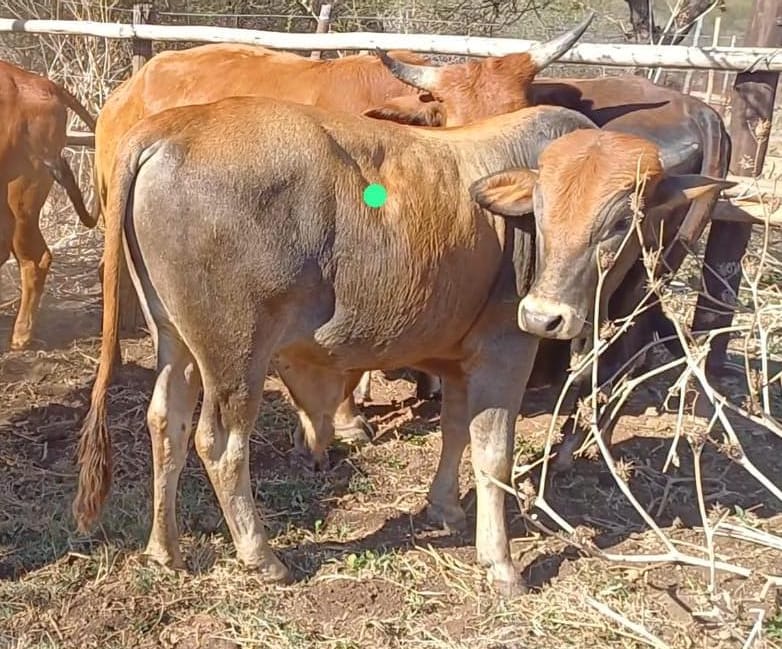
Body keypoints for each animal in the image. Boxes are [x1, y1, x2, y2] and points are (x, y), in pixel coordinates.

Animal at [72, 97, 729, 595]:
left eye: (620, 220)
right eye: (541, 211)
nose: (545, 315)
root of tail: (169, 128)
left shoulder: (459, 358)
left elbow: (456, 432)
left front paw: (445, 508)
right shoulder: (504, 352)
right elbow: (493, 455)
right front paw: (502, 564)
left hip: (177, 343)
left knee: (168, 423)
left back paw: (165, 547)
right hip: (236, 354)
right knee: (220, 443)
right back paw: (262, 555)